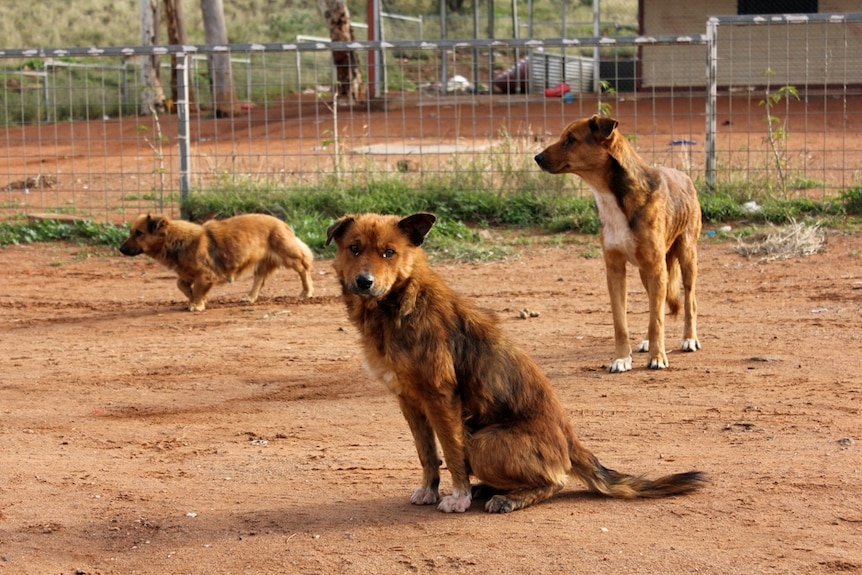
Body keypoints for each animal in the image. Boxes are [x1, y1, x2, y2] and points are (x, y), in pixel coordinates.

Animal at [118, 213, 314, 310]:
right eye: (132, 232)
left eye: (139, 233)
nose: (120, 249)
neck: (175, 240)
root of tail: (282, 223)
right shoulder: (186, 273)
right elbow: (181, 285)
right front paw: (194, 298)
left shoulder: (205, 275)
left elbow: (198, 289)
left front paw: (197, 304)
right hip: (261, 262)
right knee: (259, 279)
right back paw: (250, 297)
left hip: (289, 255)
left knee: (303, 269)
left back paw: (307, 291)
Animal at [328, 214, 704, 516]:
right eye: (354, 248)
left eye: (388, 253)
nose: (364, 282)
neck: (399, 303)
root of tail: (571, 443)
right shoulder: (409, 400)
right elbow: (427, 454)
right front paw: (429, 490)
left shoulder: (441, 398)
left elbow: (450, 452)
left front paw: (458, 497)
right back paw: (489, 488)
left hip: (482, 441)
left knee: (555, 481)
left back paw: (507, 497)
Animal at [536, 115, 704, 374]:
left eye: (570, 139)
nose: (537, 158)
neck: (613, 198)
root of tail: (684, 176)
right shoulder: (615, 269)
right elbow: (622, 322)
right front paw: (622, 358)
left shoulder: (656, 268)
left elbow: (657, 320)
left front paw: (658, 357)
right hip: (648, 273)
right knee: (656, 305)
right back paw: (647, 341)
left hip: (686, 257)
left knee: (689, 302)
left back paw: (689, 339)